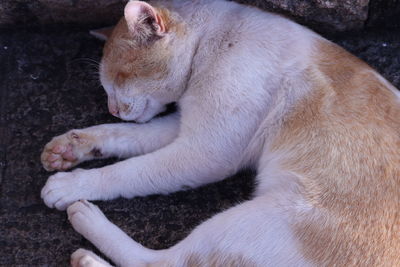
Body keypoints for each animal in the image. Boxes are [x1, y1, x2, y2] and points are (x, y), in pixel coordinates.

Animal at [40, 0, 400, 267]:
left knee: (161, 262)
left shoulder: (205, 151)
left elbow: (129, 171)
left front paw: (74, 184)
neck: (212, 40)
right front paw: (70, 148)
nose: (113, 108)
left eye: (119, 78)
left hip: (256, 224)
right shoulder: (182, 126)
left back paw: (86, 234)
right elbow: (125, 136)